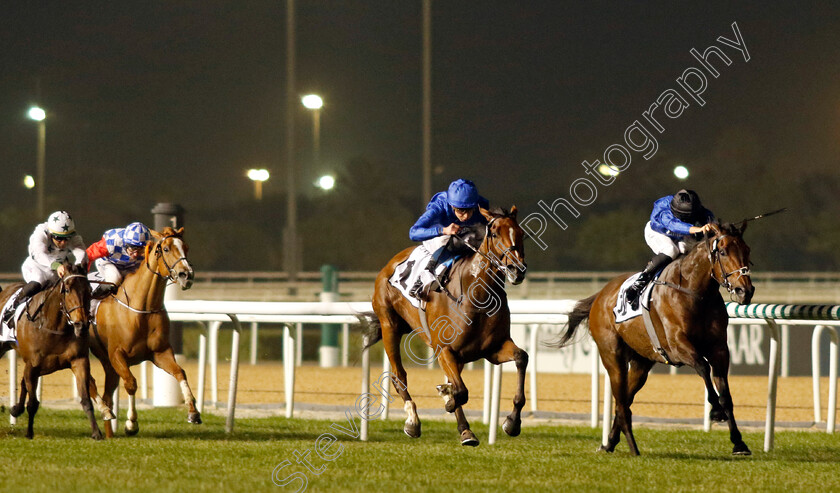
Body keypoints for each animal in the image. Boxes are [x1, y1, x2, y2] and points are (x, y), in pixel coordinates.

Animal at [0, 264, 102, 440]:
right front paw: (29, 433)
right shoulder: (33, 365)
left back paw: (16, 409)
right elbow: (33, 403)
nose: (81, 325)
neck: (54, 326)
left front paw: (96, 432)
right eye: (67, 289)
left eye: (89, 290)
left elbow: (86, 399)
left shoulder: (79, 361)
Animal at [88, 225, 199, 436]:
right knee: (89, 383)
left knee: (107, 393)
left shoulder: (160, 352)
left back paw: (109, 431)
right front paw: (131, 423)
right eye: (166, 249)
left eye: (187, 248)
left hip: (107, 363)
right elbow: (131, 383)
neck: (141, 307)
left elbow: (180, 372)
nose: (186, 275)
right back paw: (105, 413)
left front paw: (193, 412)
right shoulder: (117, 354)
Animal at [360, 206, 524, 444]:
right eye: (494, 234)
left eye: (521, 234)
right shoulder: (445, 350)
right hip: (389, 325)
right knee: (399, 377)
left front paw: (512, 422)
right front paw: (451, 405)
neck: (477, 296)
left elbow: (521, 357)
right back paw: (413, 421)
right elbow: (460, 392)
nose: (517, 269)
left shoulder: (494, 348)